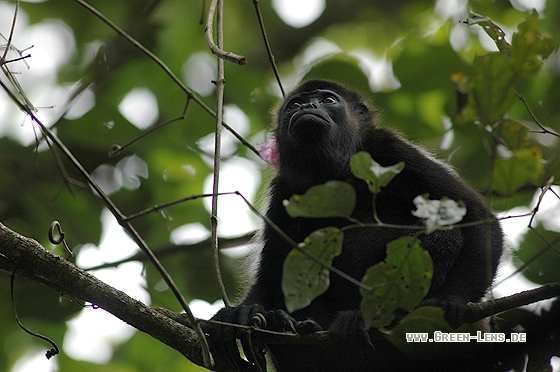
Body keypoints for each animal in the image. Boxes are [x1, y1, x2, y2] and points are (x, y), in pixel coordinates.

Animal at [205, 79, 504, 372]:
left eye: (327, 100)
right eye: (295, 105)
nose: (309, 107)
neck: (333, 174)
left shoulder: (390, 149)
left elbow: (474, 214)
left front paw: (452, 299)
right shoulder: (285, 191)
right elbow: (273, 270)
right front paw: (241, 313)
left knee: (443, 237)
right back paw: (286, 329)